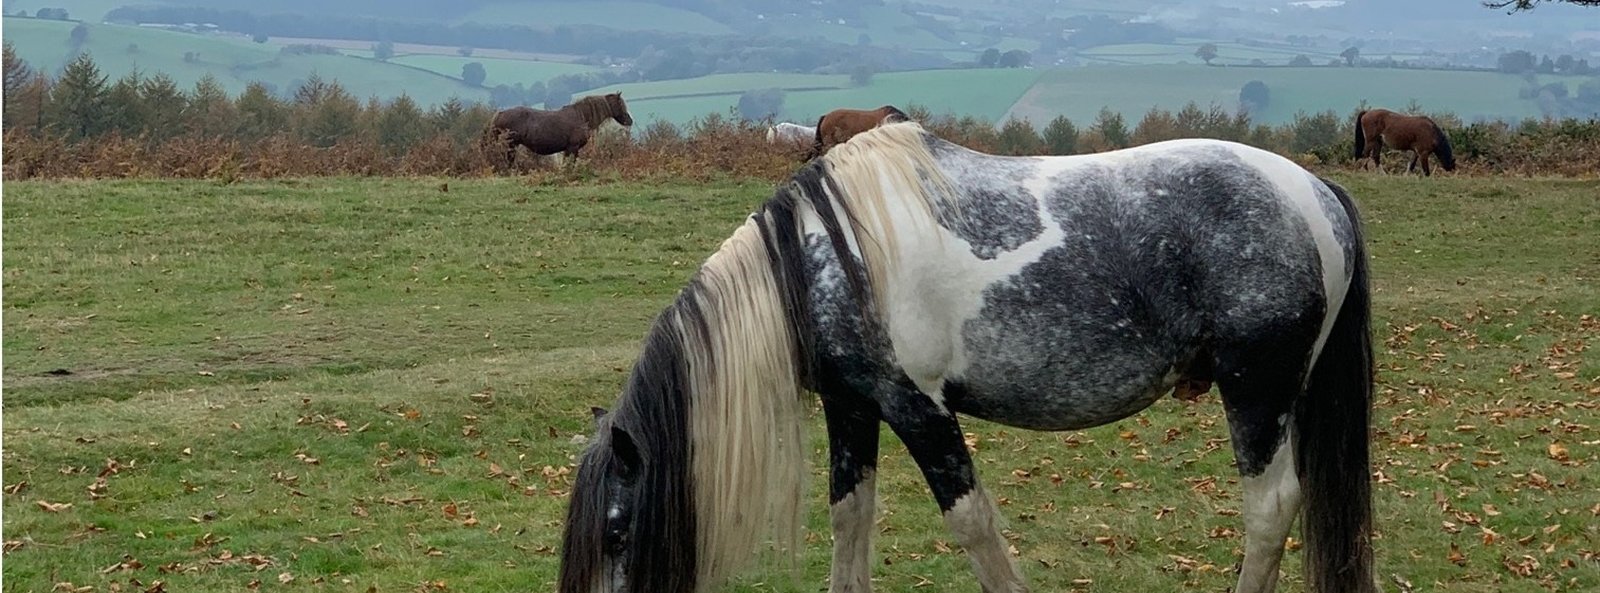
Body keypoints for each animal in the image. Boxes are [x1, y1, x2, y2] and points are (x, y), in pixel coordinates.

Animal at [483, 92, 633, 168]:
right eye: (620, 104)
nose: (630, 121)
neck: (582, 117)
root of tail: (500, 113)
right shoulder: (573, 148)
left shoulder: (569, 149)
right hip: (511, 144)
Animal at [563, 122, 1376, 593]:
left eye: (615, 532)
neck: (828, 260)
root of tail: (1313, 190)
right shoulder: (853, 407)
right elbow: (850, 516)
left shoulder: (918, 407)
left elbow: (972, 523)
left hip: (1257, 393)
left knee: (1269, 509)